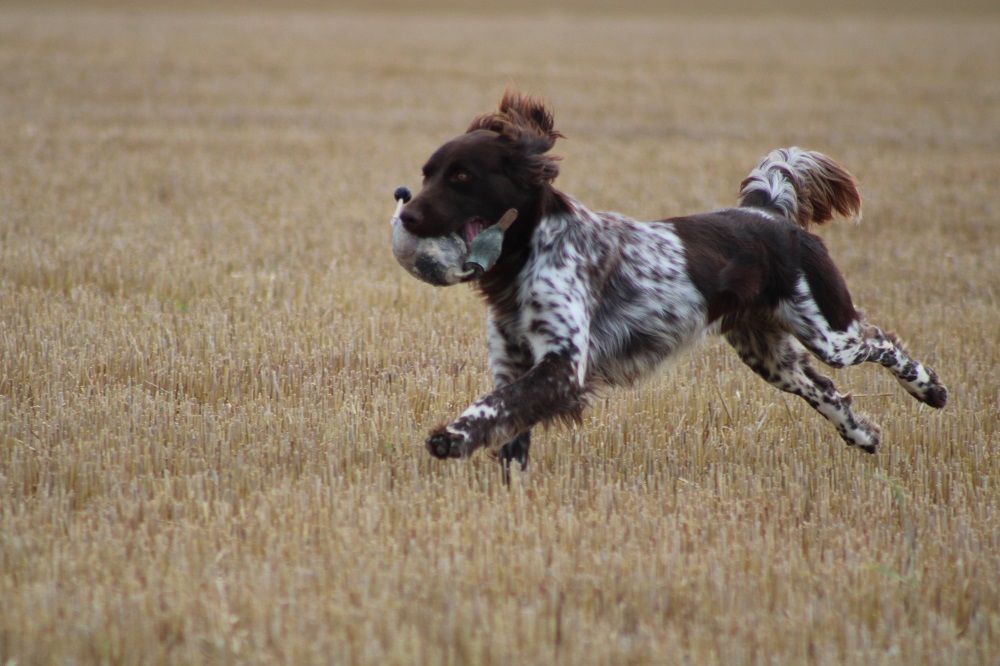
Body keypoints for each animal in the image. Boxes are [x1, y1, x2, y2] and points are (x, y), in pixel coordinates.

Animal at [392, 89, 944, 478]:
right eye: (427, 174)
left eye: (462, 176)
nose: (408, 215)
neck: (526, 254)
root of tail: (767, 213)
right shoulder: (512, 361)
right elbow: (508, 425)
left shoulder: (563, 364)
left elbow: (494, 407)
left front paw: (451, 436)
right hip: (767, 352)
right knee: (825, 388)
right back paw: (862, 435)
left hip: (828, 331)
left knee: (880, 343)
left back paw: (930, 390)